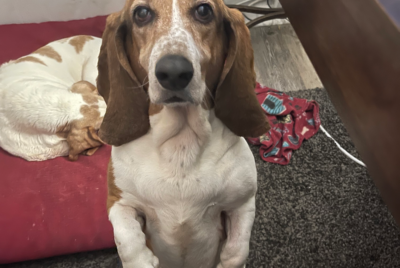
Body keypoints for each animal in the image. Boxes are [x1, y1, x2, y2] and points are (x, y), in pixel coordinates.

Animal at [98, 0, 270, 268]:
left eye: (204, 10)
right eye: (141, 13)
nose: (173, 71)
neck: (181, 143)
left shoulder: (242, 203)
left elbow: (236, 252)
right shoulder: (119, 201)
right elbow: (128, 242)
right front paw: (142, 260)